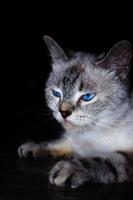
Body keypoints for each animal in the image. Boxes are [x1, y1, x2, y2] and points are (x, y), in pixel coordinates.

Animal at [17, 35, 133, 188]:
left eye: (87, 96)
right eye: (56, 93)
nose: (63, 113)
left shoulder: (128, 155)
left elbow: (105, 160)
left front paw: (69, 169)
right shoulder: (74, 139)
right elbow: (63, 142)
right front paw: (34, 147)